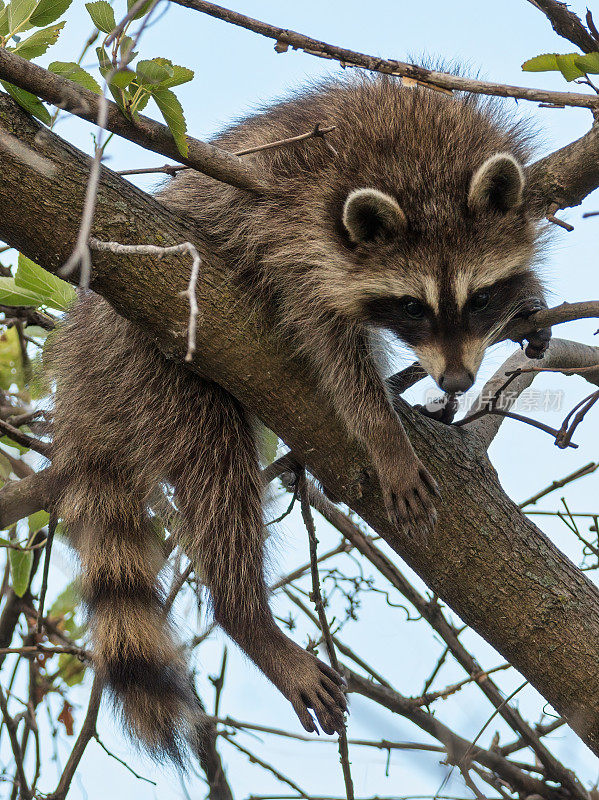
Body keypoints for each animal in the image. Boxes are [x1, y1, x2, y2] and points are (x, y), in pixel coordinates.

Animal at [49, 76, 552, 764]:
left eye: (478, 298)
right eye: (411, 307)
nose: (454, 383)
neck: (425, 165)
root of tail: (81, 352)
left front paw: (528, 295)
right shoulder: (302, 233)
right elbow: (331, 345)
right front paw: (383, 433)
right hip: (155, 358)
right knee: (220, 477)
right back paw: (245, 613)